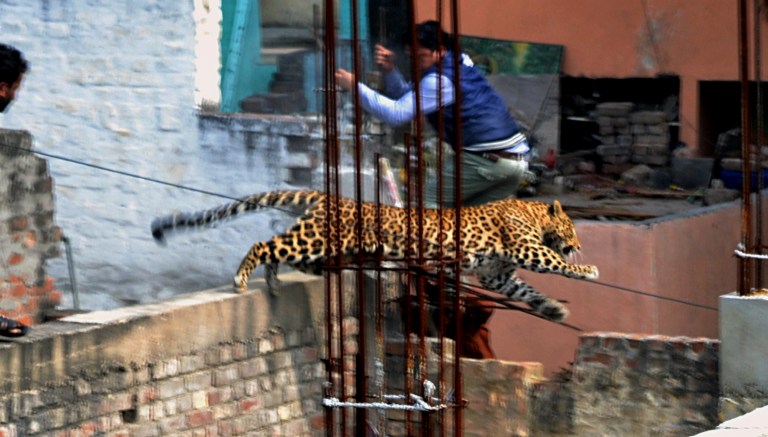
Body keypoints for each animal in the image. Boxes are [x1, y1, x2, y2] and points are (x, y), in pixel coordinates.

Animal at [151, 189, 598, 322]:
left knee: (278, 247)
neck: (534, 212)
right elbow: (557, 264)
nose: (579, 243)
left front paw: (553, 309)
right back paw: (242, 279)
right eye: (574, 230)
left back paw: (274, 282)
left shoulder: (496, 274)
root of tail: (327, 196)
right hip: (317, 240)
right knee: (265, 244)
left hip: (317, 247)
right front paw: (588, 268)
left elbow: (526, 291)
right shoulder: (526, 247)